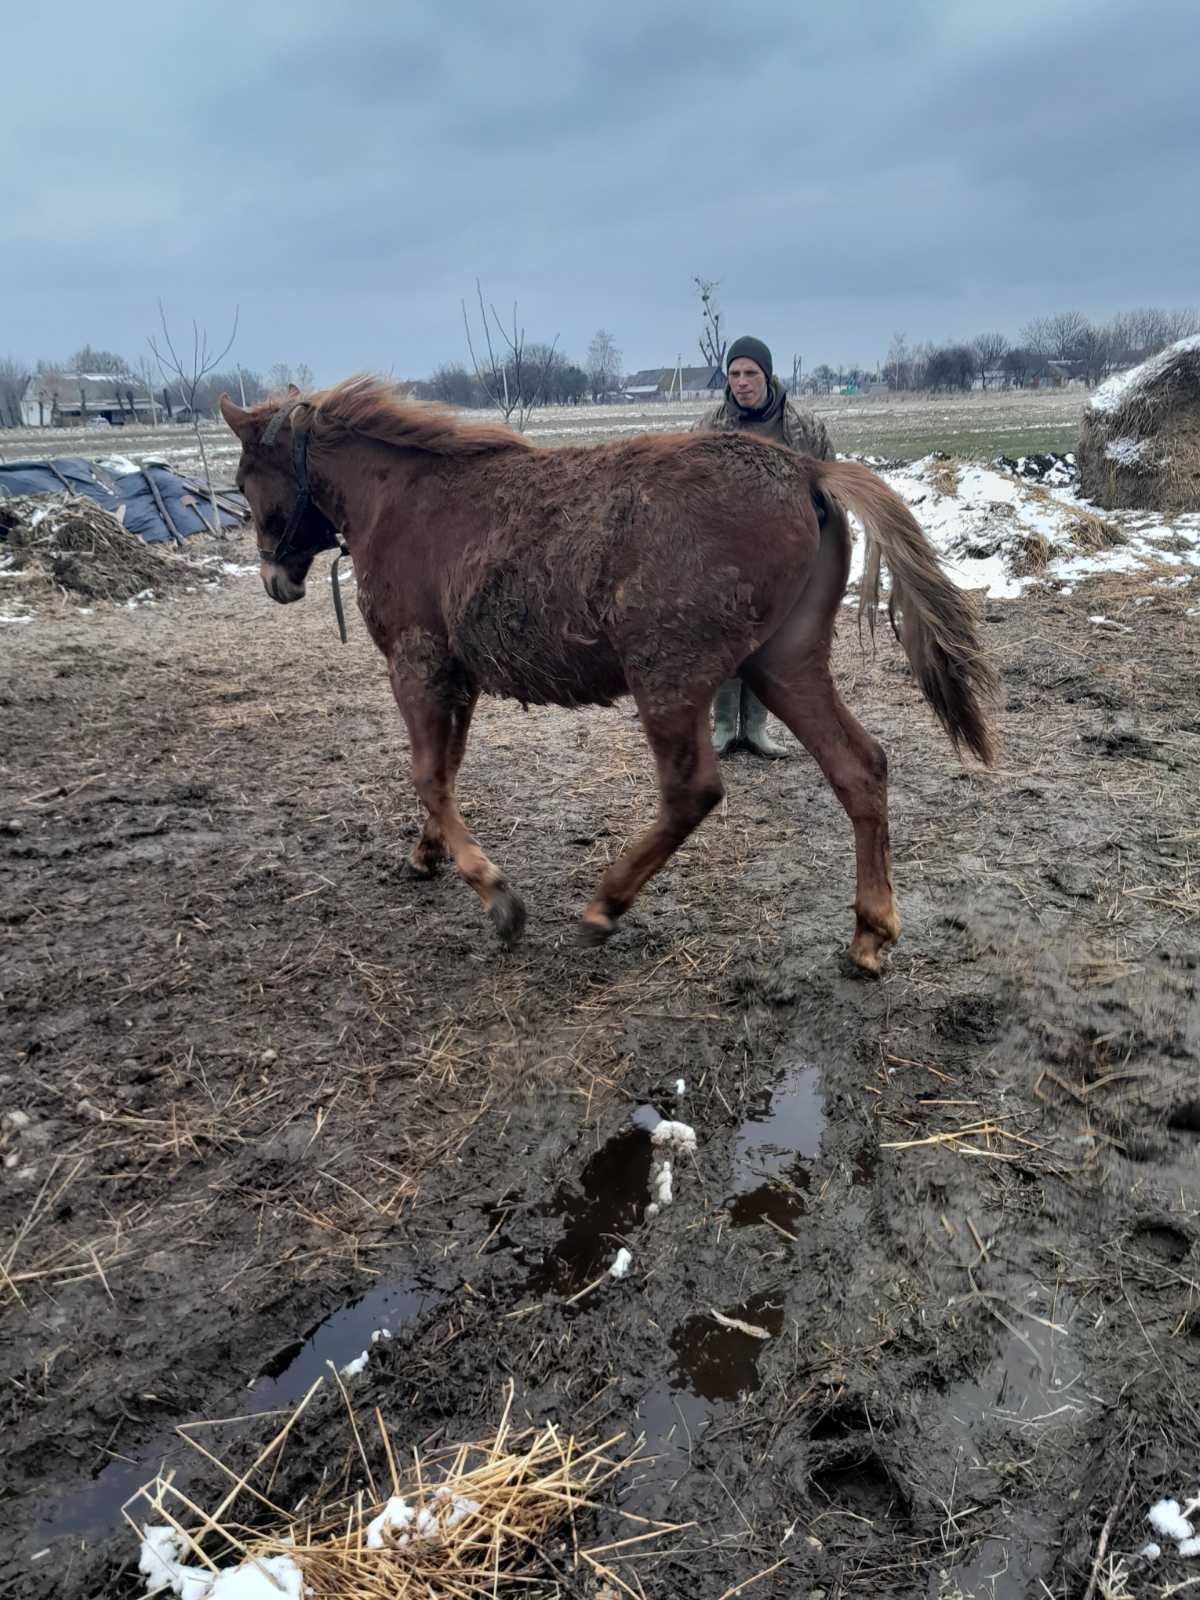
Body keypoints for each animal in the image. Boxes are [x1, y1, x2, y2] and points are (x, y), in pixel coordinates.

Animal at [220, 377, 998, 972]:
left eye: (243, 480)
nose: (275, 580)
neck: (402, 499)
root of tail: (806, 472)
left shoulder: (416, 664)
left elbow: (428, 775)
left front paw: (496, 896)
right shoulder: (457, 675)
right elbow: (446, 769)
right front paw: (425, 853)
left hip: (670, 677)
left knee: (693, 791)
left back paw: (605, 904)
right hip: (785, 664)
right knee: (860, 768)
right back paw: (869, 935)